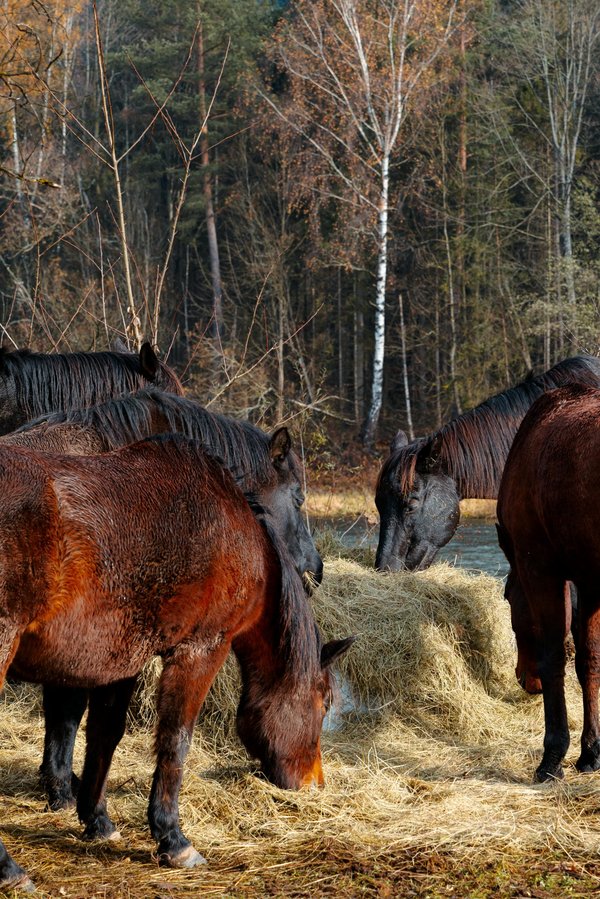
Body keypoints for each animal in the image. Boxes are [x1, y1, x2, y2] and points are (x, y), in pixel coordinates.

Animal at [0, 435, 353, 891]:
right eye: (323, 704)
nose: (314, 783)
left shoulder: (120, 660)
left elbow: (104, 735)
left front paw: (97, 820)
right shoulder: (200, 650)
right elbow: (175, 740)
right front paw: (172, 838)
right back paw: (9, 870)